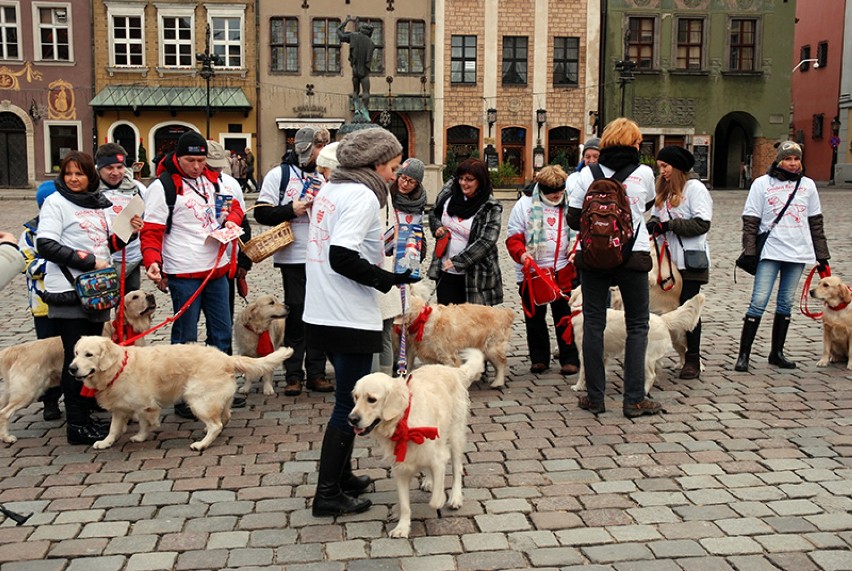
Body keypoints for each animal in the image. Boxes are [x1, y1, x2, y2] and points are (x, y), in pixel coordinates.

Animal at [0, 290, 156, 446]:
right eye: (135, 297)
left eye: (145, 293)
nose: (151, 296)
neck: (126, 329)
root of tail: (17, 349)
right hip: (27, 392)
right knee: (4, 413)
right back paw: (7, 437)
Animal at [68, 336, 292, 452]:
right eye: (76, 353)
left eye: (89, 355)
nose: (71, 368)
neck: (118, 368)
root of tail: (226, 358)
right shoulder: (120, 408)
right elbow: (114, 428)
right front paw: (107, 442)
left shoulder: (145, 404)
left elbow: (145, 422)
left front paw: (141, 435)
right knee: (224, 417)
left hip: (197, 398)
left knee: (217, 424)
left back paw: (201, 444)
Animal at [344, 346, 480, 540]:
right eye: (356, 397)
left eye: (371, 399)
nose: (351, 419)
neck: (403, 421)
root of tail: (452, 370)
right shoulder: (400, 468)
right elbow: (405, 505)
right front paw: (402, 527)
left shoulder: (439, 456)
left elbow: (435, 500)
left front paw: (440, 498)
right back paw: (429, 482)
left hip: (455, 435)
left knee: (457, 469)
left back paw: (455, 498)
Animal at [572, 292, 704, 396]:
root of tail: (662, 320)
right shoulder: (603, 353)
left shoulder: (584, 352)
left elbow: (583, 372)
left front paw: (578, 386)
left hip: (646, 356)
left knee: (652, 375)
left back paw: (644, 391)